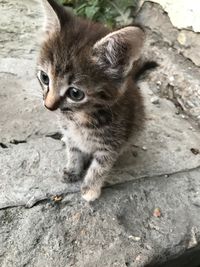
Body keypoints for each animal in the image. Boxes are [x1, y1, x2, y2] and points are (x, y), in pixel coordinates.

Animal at [36, 0, 145, 202]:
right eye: (45, 78)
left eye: (75, 93)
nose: (48, 106)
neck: (79, 118)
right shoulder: (72, 136)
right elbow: (74, 151)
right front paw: (72, 170)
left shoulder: (111, 145)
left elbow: (100, 167)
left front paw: (90, 189)